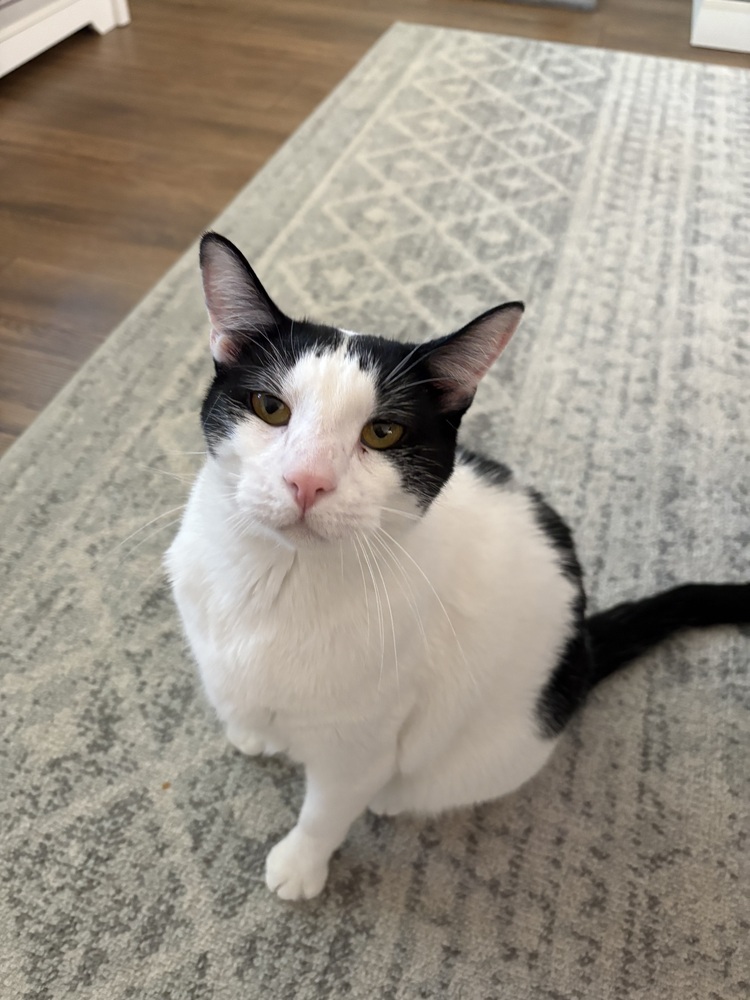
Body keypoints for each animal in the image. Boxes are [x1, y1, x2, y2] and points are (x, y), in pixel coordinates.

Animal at [167, 232, 748, 900]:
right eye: (269, 406)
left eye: (384, 432)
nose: (307, 481)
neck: (274, 578)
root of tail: (582, 644)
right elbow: (240, 700)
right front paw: (253, 729)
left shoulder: (360, 742)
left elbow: (327, 809)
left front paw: (301, 864)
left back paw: (393, 798)